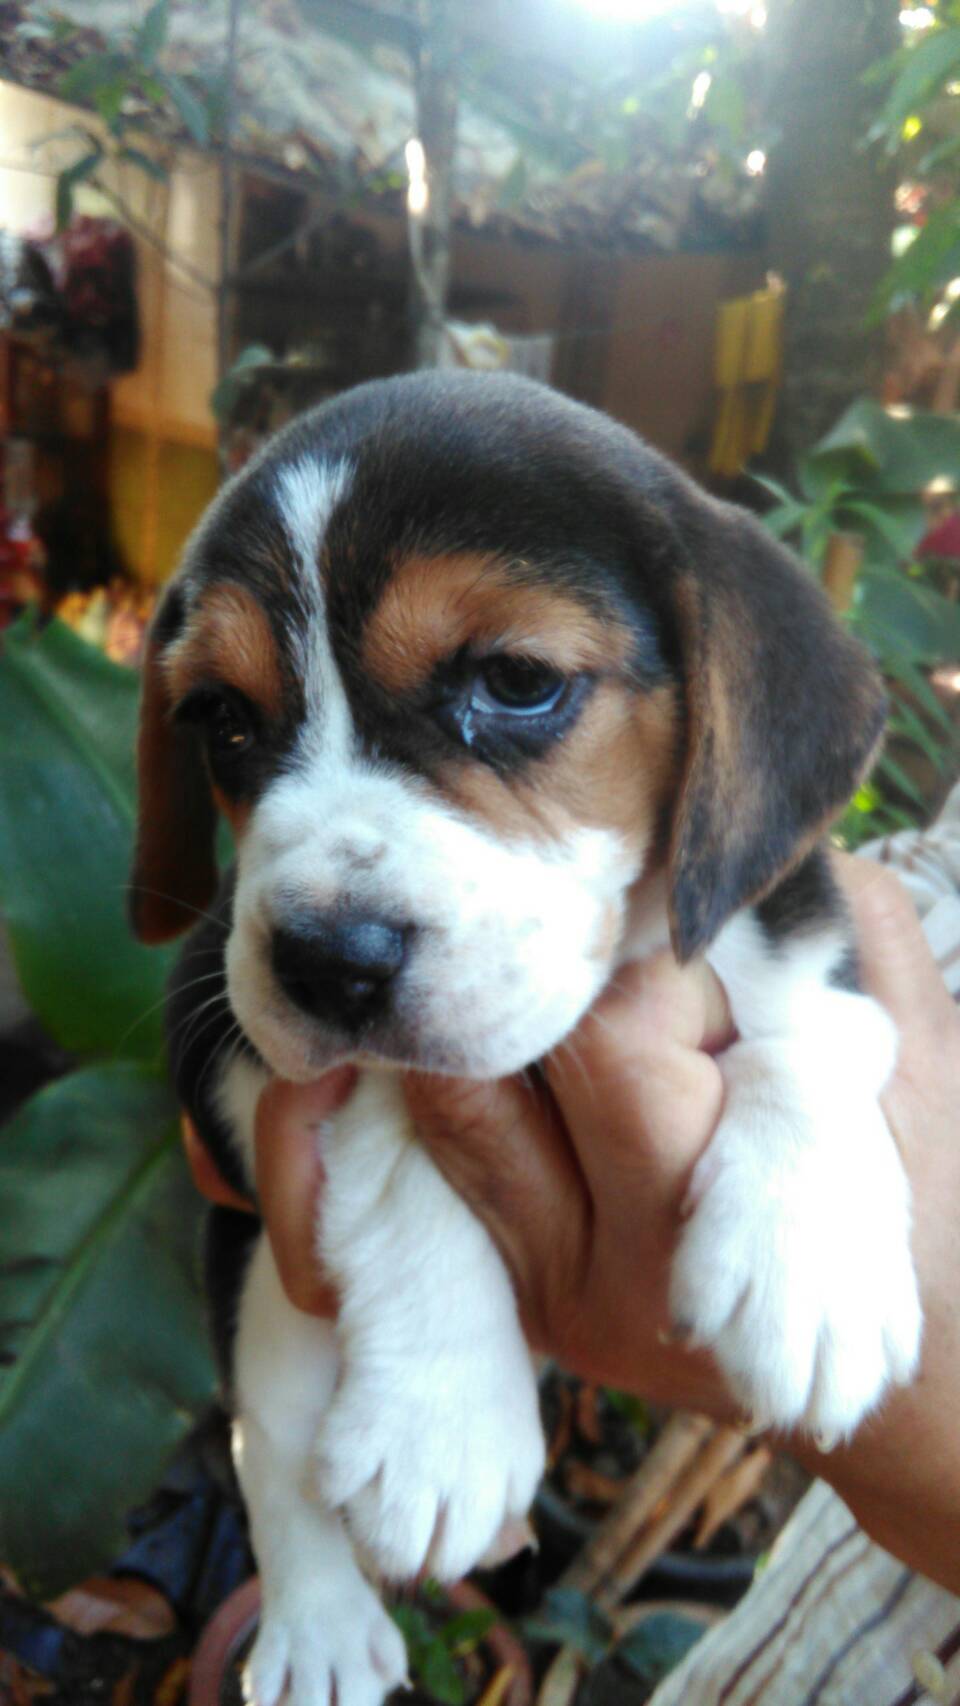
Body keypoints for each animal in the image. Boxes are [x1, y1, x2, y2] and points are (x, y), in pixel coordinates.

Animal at [130, 371, 922, 1706]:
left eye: (514, 681)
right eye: (223, 719)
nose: (327, 960)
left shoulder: (803, 915)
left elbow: (806, 1033)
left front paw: (813, 1262)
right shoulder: (222, 1019)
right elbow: (395, 1117)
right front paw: (440, 1424)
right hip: (255, 1285)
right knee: (275, 1448)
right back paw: (320, 1626)